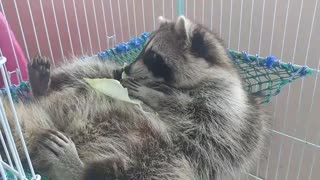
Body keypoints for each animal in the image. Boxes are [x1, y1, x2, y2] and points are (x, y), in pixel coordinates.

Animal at [3, 16, 270, 179]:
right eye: (143, 49)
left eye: (153, 56)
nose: (126, 69)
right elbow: (101, 72)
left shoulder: (226, 108)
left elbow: (197, 114)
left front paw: (156, 97)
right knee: (83, 72)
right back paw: (41, 87)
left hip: (164, 155)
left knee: (151, 167)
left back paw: (76, 169)